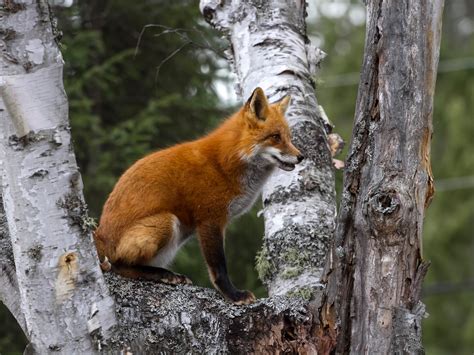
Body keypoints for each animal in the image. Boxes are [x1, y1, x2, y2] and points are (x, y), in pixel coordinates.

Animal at [94, 87, 304, 304]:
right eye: (276, 137)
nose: (301, 157)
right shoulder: (210, 219)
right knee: (118, 265)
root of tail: (100, 233)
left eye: (289, 137)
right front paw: (234, 295)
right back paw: (161, 274)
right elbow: (219, 267)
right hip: (166, 221)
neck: (225, 163)